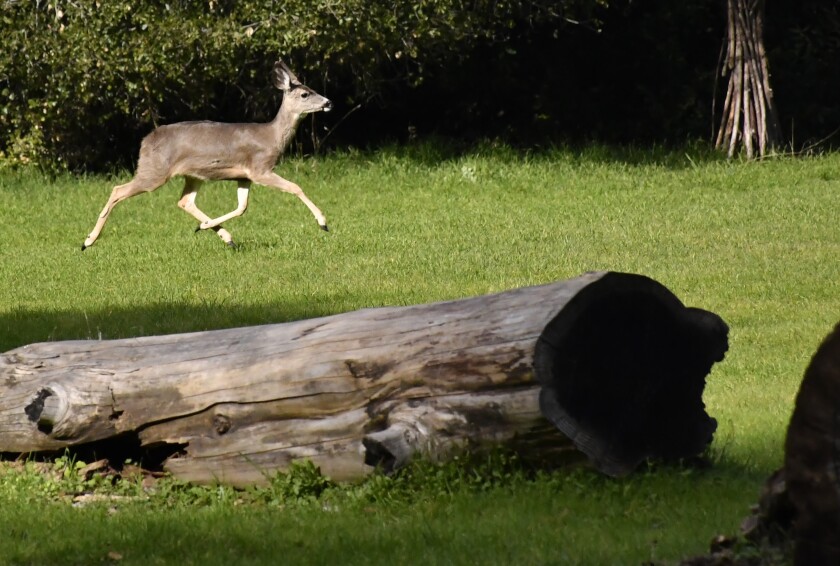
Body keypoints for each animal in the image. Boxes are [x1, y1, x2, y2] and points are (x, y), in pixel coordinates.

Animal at [82, 59, 333, 250]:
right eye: (305, 94)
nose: (329, 101)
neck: (272, 136)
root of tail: (145, 142)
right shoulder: (260, 168)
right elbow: (295, 187)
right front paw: (323, 222)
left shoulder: (244, 176)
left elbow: (242, 207)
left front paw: (206, 227)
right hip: (154, 171)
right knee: (118, 190)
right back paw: (88, 241)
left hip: (192, 175)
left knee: (184, 201)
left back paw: (222, 235)